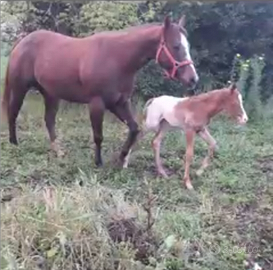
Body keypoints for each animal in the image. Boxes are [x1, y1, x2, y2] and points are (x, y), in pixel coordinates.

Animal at [1, 14, 198, 168]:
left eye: (188, 46)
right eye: (176, 46)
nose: (193, 79)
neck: (117, 58)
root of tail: (22, 42)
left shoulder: (119, 103)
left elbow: (134, 129)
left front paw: (121, 157)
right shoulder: (97, 103)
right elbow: (98, 135)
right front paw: (98, 162)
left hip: (50, 94)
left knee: (49, 120)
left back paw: (58, 152)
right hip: (20, 88)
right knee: (13, 113)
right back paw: (14, 144)